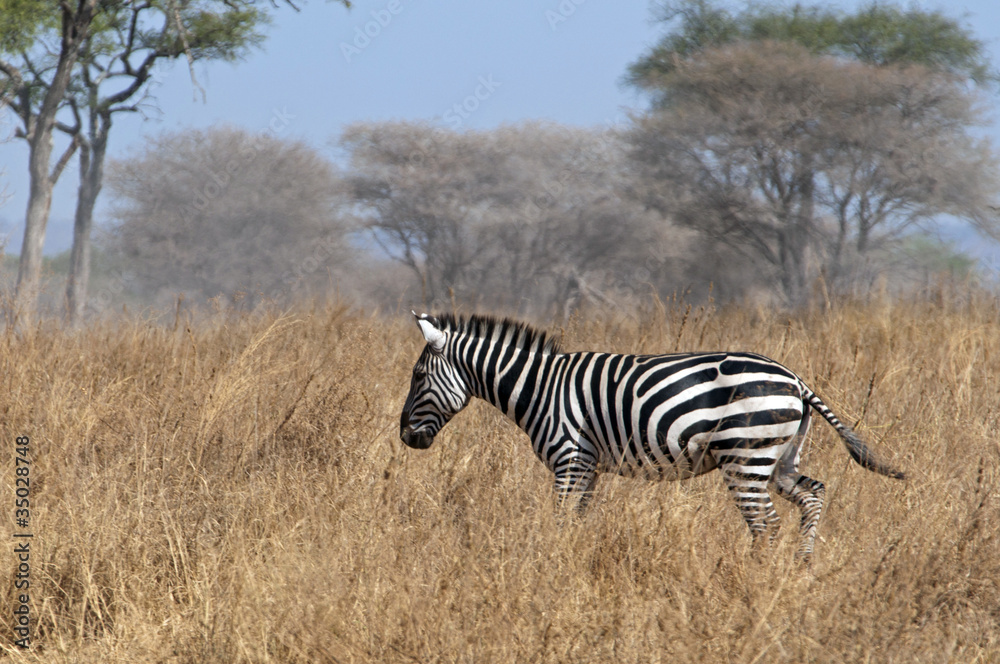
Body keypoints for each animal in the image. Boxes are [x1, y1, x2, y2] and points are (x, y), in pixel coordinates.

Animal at [399, 312, 905, 559]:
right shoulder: (587, 467)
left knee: (766, 524)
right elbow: (578, 522)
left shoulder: (568, 458)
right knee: (813, 494)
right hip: (779, 457)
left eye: (418, 376)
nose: (405, 437)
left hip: (746, 458)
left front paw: (552, 567)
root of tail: (795, 379)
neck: (538, 387)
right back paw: (801, 565)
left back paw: (757, 580)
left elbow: (560, 522)